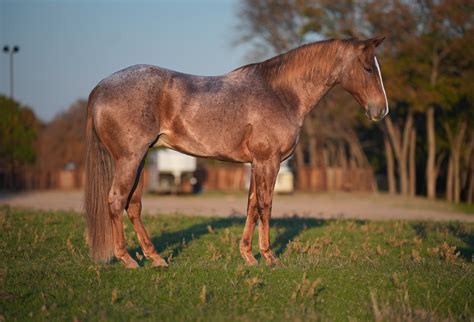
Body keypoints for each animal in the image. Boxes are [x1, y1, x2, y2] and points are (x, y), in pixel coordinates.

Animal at [84, 37, 388, 270]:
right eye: (367, 68)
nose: (381, 110)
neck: (280, 93)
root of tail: (100, 87)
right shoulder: (268, 162)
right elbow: (266, 206)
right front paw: (269, 257)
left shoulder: (256, 164)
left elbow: (251, 206)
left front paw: (248, 256)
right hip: (129, 159)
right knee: (116, 200)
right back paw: (127, 260)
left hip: (140, 159)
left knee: (133, 205)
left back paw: (155, 258)